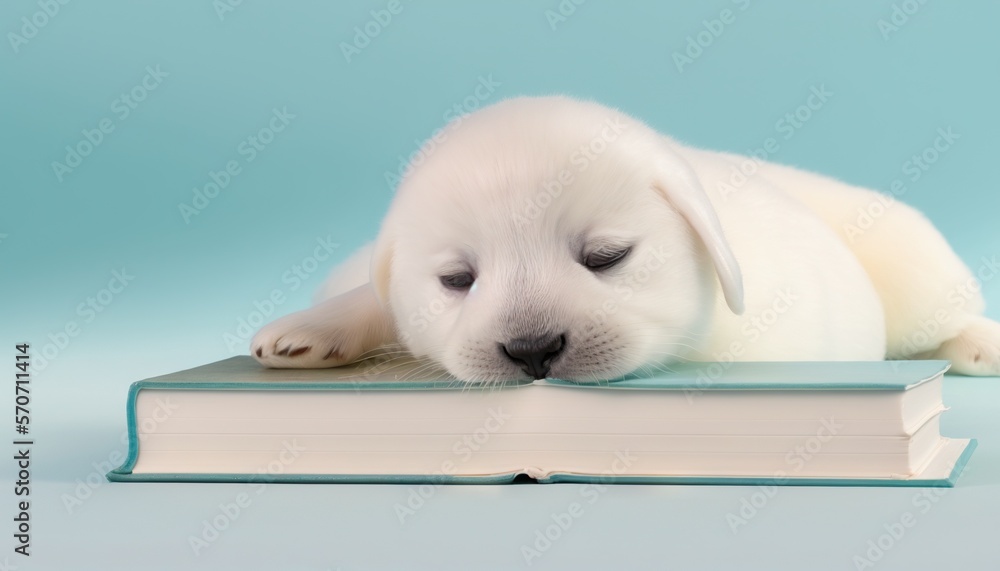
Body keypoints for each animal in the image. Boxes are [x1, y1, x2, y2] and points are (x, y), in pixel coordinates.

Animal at [252, 97, 1000, 384]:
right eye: (457, 279)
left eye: (606, 257)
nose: (532, 349)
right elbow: (375, 292)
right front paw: (307, 331)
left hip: (918, 267)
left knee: (946, 319)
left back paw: (980, 344)